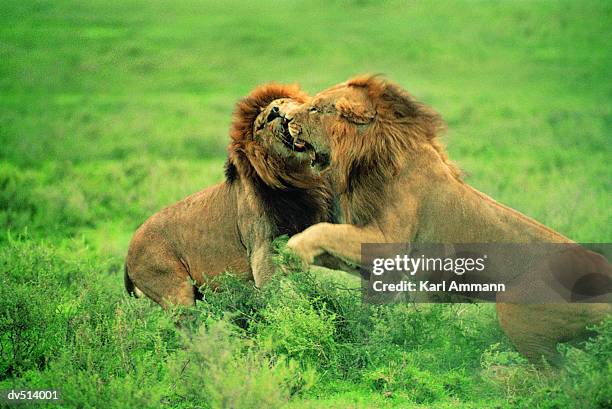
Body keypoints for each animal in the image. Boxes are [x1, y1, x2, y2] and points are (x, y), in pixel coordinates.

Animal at [124, 83, 332, 306]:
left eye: (281, 102)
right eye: (264, 122)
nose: (275, 111)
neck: (297, 178)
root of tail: (127, 254)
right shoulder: (262, 249)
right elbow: (276, 296)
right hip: (175, 290)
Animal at [286, 75, 612, 362]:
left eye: (316, 108)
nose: (287, 119)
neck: (367, 160)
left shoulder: (387, 243)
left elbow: (324, 229)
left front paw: (294, 251)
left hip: (516, 308)